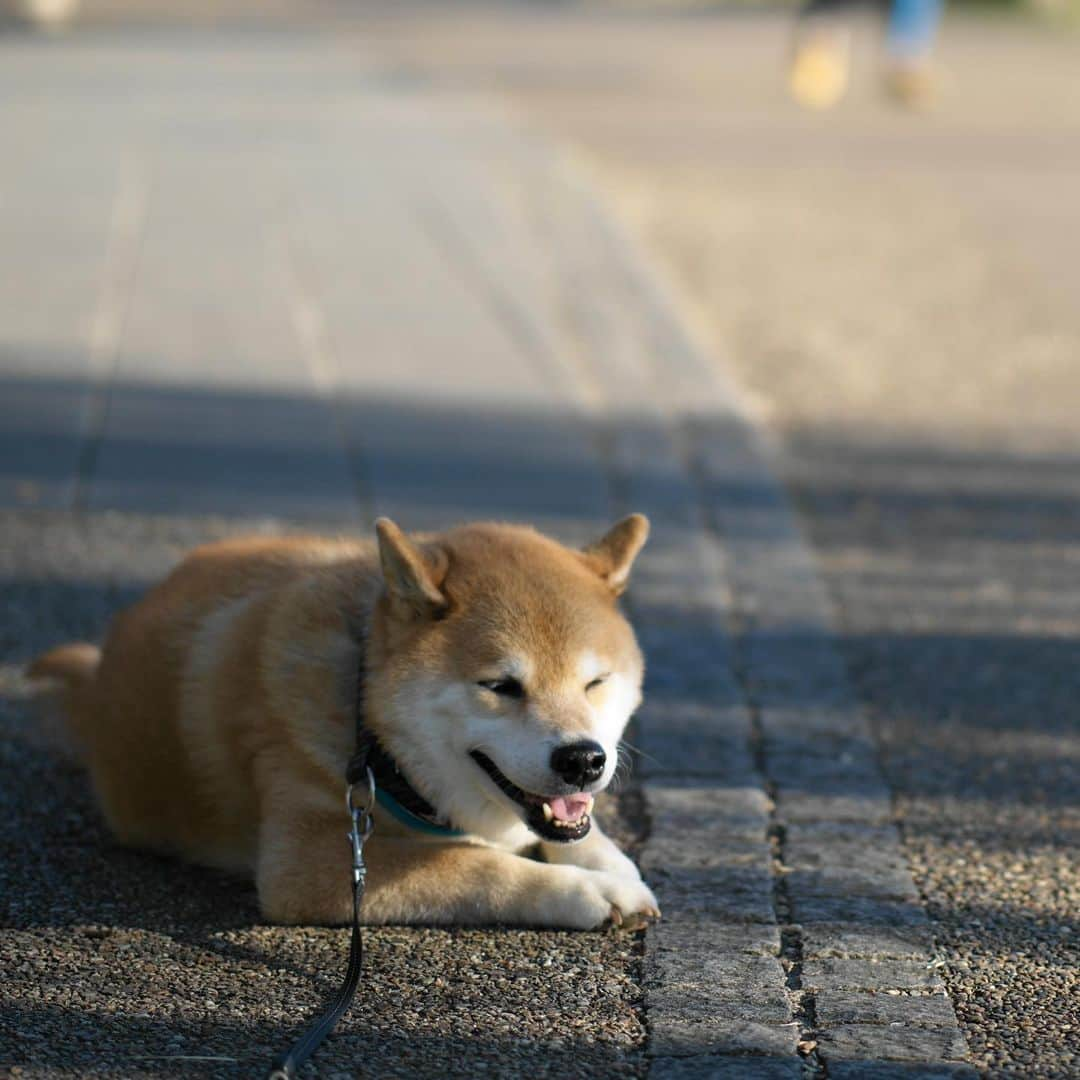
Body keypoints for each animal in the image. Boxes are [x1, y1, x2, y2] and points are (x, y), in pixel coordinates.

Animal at [29, 514, 656, 928]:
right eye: (501, 687)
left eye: (595, 682)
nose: (583, 759)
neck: (372, 737)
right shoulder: (307, 862)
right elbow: (477, 865)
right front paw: (591, 892)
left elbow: (583, 833)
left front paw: (616, 868)